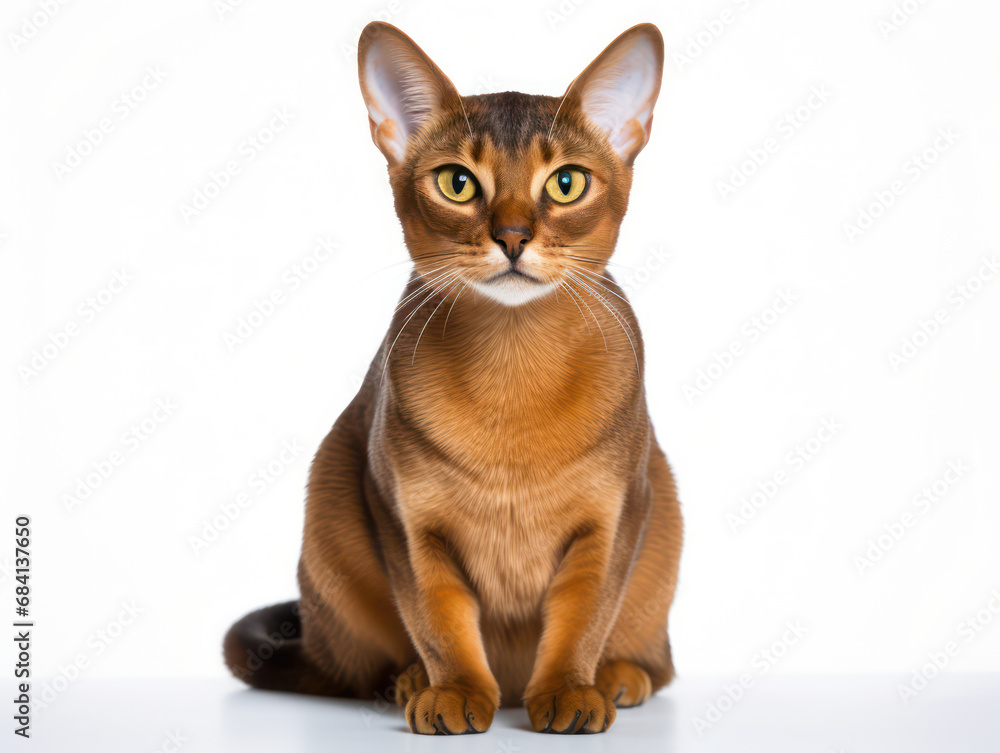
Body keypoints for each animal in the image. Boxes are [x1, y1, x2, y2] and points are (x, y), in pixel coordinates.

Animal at [223, 19, 684, 736]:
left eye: (567, 183)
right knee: (367, 665)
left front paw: (570, 690)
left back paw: (616, 676)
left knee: (656, 663)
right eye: (458, 183)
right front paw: (456, 691)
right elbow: (439, 615)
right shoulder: (404, 517)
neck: (514, 365)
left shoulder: (615, 516)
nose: (513, 237)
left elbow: (582, 615)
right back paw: (411, 682)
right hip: (330, 500)